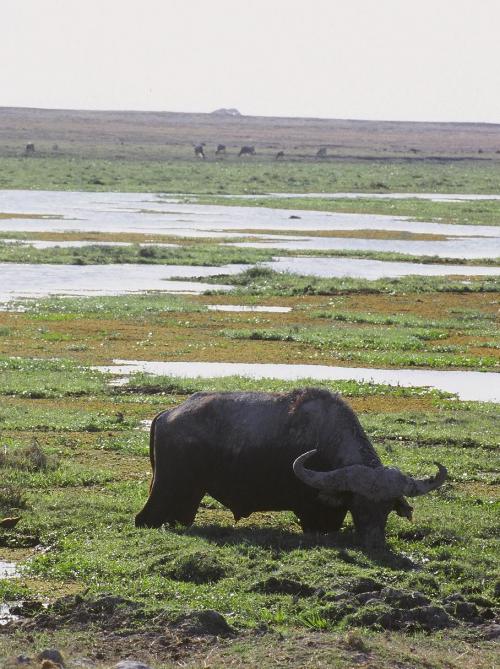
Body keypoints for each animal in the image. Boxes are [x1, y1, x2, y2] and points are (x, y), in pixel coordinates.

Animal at [135, 388, 448, 544]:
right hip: (167, 488)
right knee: (143, 519)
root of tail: (167, 414)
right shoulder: (312, 513)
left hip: (188, 496)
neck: (327, 441)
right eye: (358, 504)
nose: (374, 541)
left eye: (386, 507)